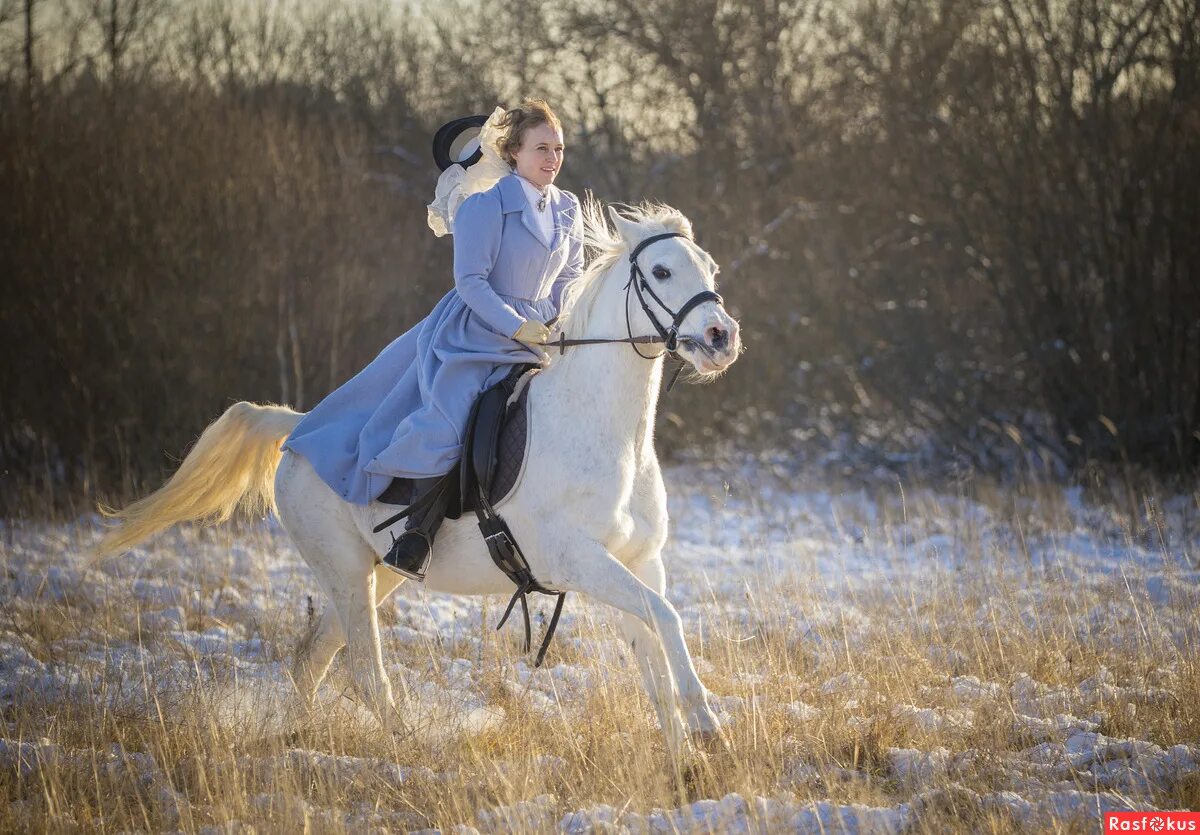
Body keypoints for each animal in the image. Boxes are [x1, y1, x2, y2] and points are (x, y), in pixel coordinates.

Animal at [96, 199, 739, 758]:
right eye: (661, 270)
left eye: (710, 267)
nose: (721, 338)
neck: (604, 427)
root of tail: (299, 432)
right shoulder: (580, 561)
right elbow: (666, 618)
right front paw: (708, 724)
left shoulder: (636, 561)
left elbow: (655, 656)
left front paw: (685, 760)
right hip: (346, 571)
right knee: (363, 672)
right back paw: (411, 746)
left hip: (376, 574)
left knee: (312, 659)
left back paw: (303, 744)